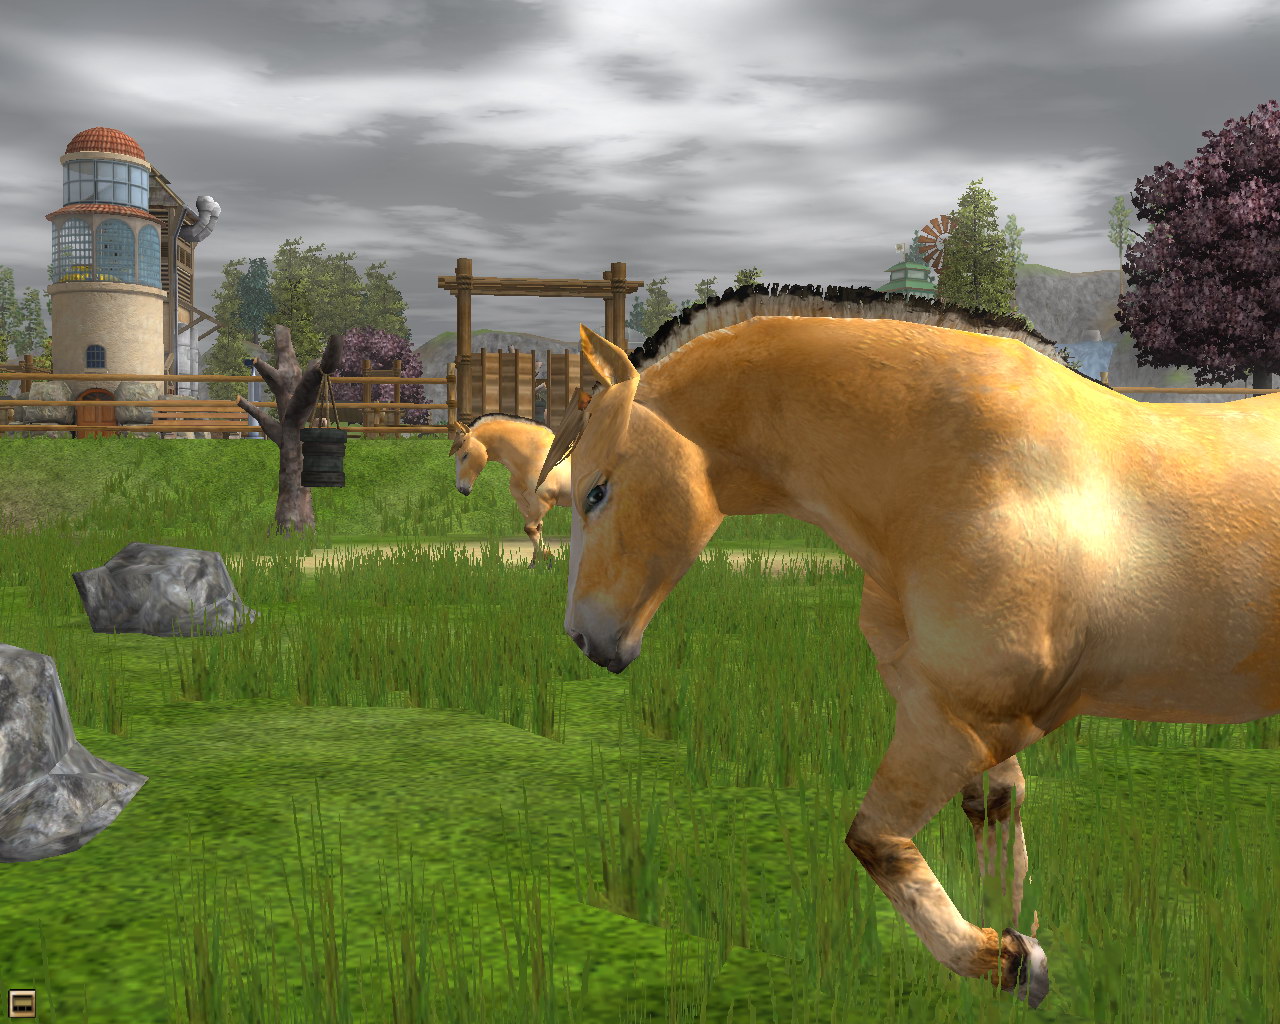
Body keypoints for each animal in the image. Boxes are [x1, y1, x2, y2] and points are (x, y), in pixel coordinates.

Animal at [449, 413, 572, 566]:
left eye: (465, 454)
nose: (462, 489)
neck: (535, 456)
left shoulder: (543, 503)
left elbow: (530, 528)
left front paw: (549, 559)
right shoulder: (525, 503)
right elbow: (536, 528)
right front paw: (535, 562)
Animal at [537, 318, 1280, 1009]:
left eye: (597, 491)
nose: (584, 639)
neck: (954, 474)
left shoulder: (957, 728)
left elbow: (875, 840)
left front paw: (1010, 964)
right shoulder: (965, 722)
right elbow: (995, 824)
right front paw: (1011, 945)